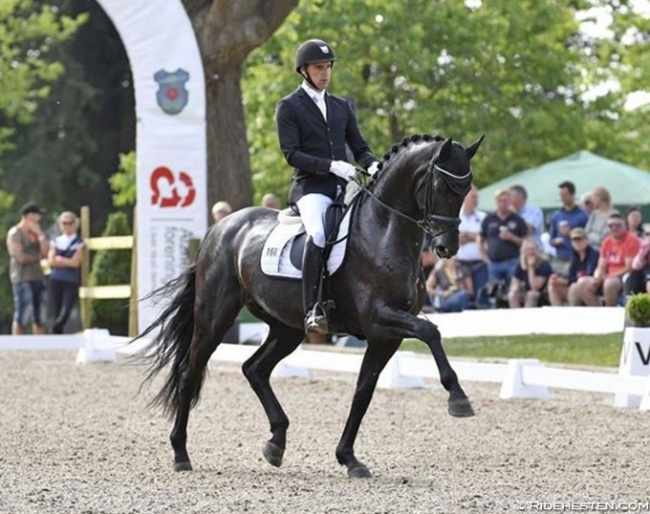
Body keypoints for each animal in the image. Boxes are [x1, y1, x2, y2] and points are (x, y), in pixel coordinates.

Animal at [135, 132, 480, 476]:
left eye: (466, 190)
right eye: (442, 187)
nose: (446, 248)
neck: (383, 231)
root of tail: (216, 230)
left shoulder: (386, 335)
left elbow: (363, 392)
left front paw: (349, 458)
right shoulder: (379, 318)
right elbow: (430, 331)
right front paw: (458, 399)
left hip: (287, 328)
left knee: (254, 369)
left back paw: (276, 443)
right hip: (215, 318)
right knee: (189, 372)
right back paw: (181, 454)